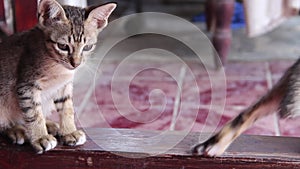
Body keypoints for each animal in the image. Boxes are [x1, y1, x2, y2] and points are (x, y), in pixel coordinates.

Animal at [0, 0, 116, 153]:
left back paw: (48, 124)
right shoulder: (26, 85)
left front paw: (69, 131)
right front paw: (40, 137)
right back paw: (16, 130)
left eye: (87, 47)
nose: (76, 64)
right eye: (63, 46)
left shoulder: (64, 85)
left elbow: (67, 108)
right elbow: (33, 113)